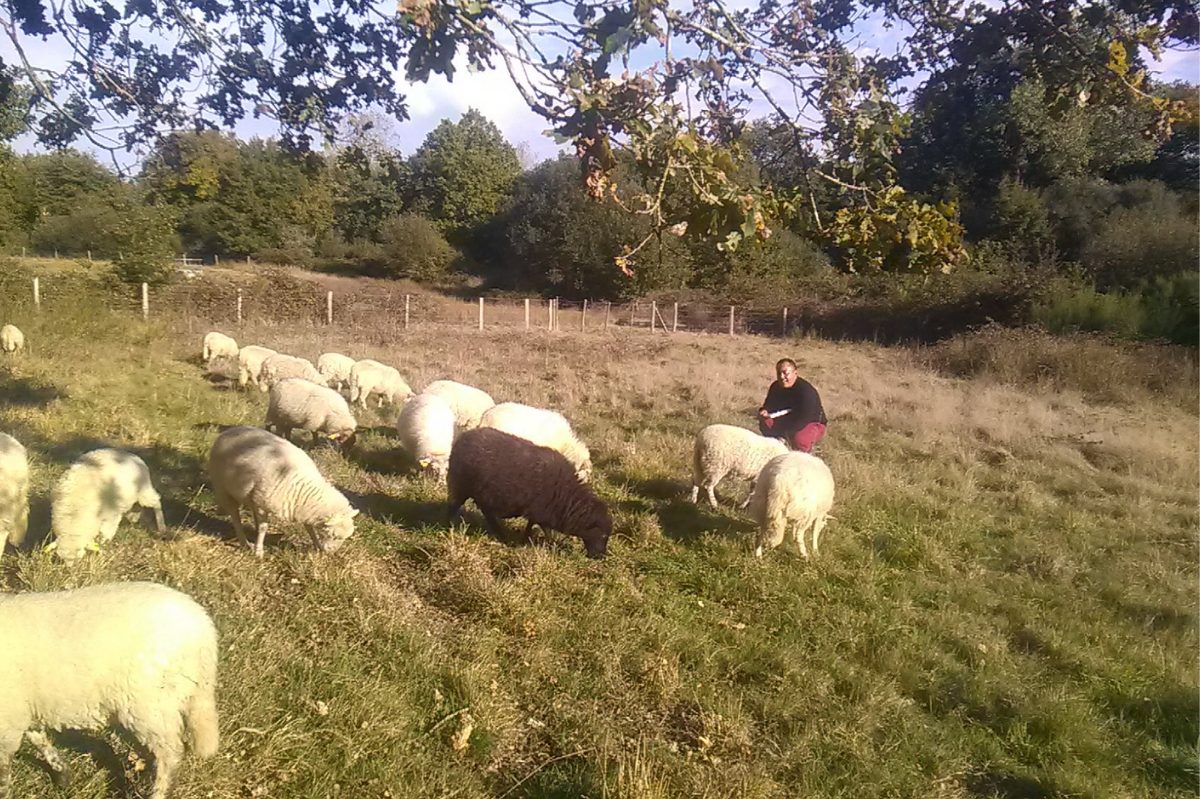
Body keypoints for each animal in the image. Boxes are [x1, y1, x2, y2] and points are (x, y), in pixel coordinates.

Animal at [0, 578, 220, 796]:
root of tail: (204, 629)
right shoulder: (22, 711)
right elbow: (39, 739)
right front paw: (63, 773)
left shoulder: (8, 721)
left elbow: (4, 771)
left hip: (150, 704)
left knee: (170, 752)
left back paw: (158, 792)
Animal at [206, 422, 357, 554]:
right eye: (333, 535)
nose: (331, 552)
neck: (303, 487)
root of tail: (229, 432)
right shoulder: (263, 505)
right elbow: (263, 527)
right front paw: (259, 551)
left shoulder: (303, 509)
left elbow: (309, 528)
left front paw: (317, 545)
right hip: (222, 487)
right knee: (235, 516)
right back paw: (245, 542)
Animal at [451, 427, 619, 556]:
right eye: (603, 534)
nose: (601, 556)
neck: (567, 496)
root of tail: (463, 437)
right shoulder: (541, 511)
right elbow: (546, 530)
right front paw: (551, 545)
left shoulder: (537, 511)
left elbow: (531, 524)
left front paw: (525, 538)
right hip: (461, 486)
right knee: (453, 506)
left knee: (487, 513)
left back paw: (501, 534)